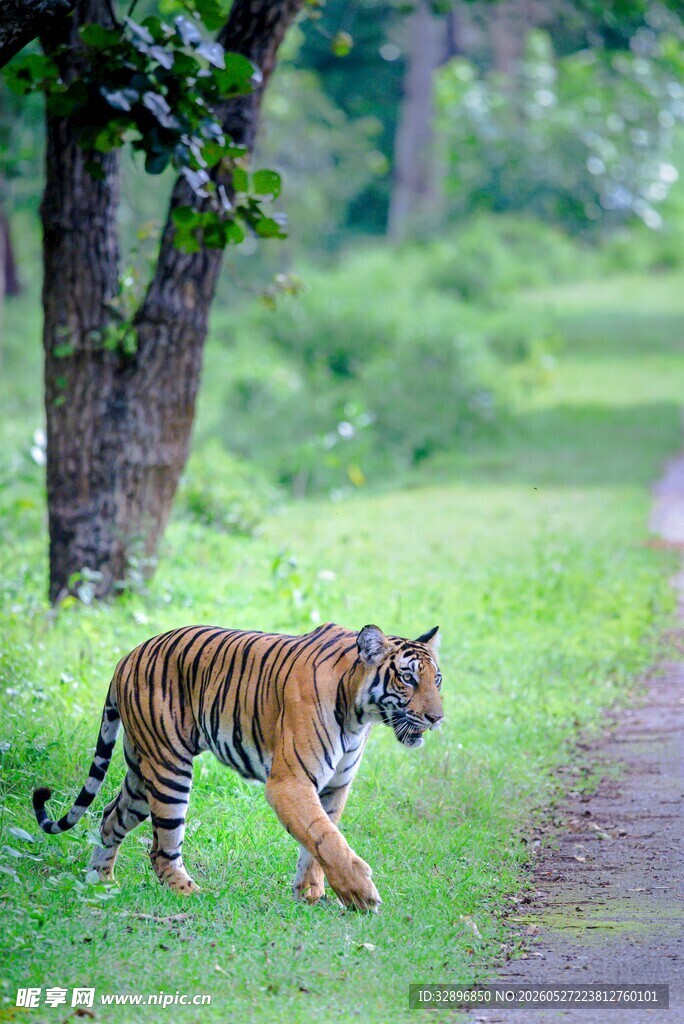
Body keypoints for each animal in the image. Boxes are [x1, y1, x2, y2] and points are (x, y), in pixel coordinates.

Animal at [33, 621, 443, 911]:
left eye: (436, 679)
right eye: (408, 678)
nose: (438, 718)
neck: (360, 713)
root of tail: (127, 656)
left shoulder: (334, 786)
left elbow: (319, 839)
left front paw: (310, 892)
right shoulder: (290, 782)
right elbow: (326, 837)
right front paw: (360, 894)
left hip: (140, 768)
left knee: (110, 817)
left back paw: (100, 882)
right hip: (169, 769)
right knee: (162, 851)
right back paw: (193, 894)